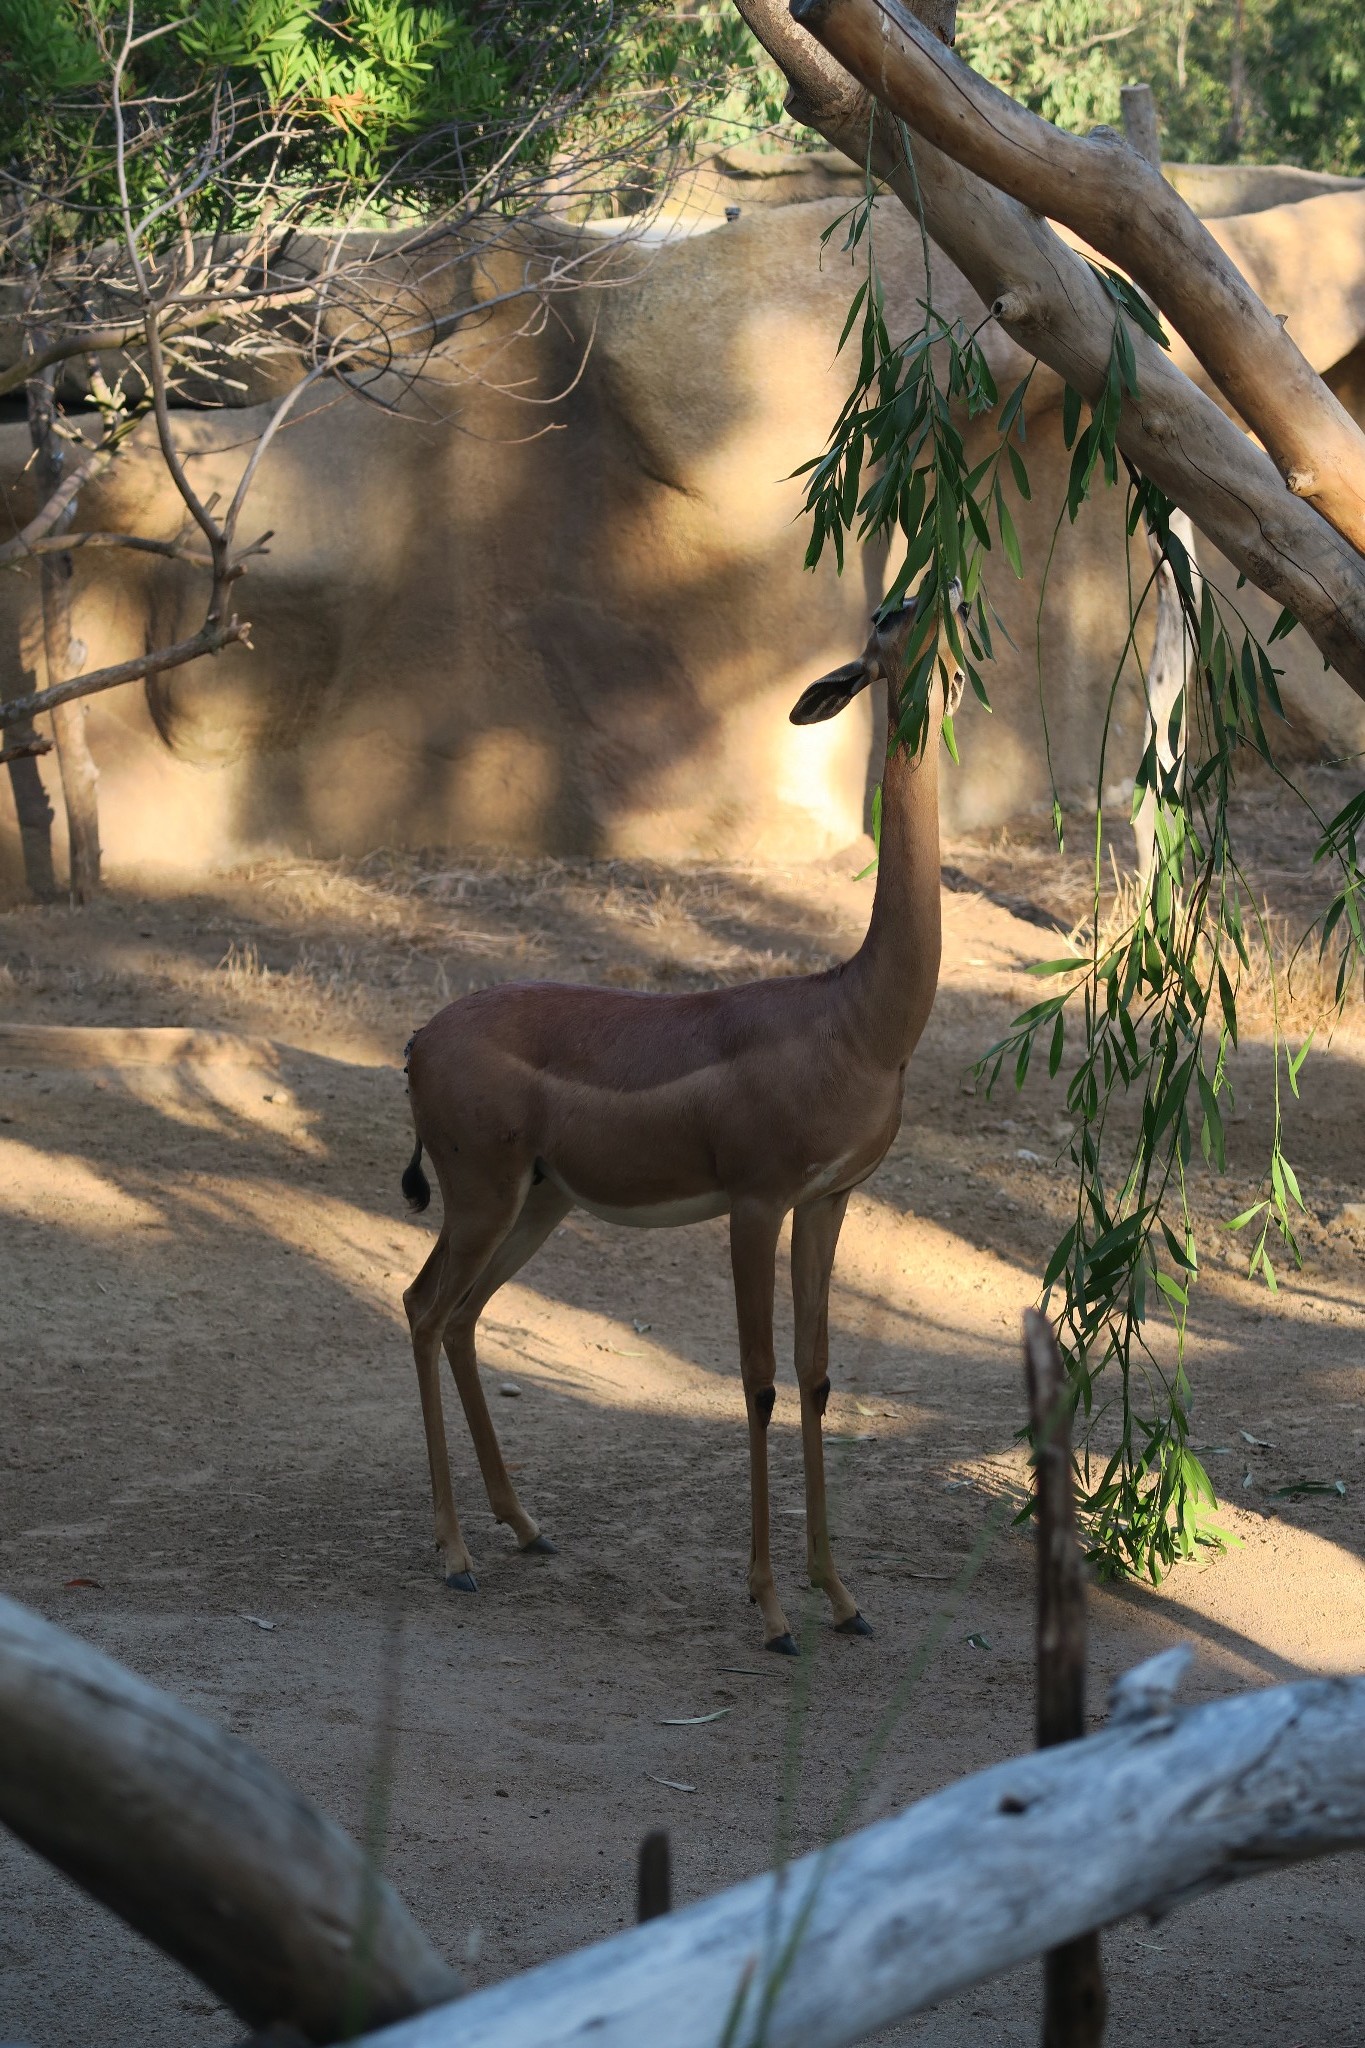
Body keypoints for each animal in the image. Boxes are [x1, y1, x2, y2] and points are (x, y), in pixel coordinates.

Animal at [401, 598, 965, 1646]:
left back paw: (526, 1528)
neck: (857, 1019)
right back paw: (454, 1557)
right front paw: (772, 1609)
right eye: (884, 618)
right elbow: (757, 1380)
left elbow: (819, 1377)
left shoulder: (831, 1200)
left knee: (460, 1317)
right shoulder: (756, 1202)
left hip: (537, 1206)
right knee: (422, 1308)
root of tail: (418, 1039)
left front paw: (843, 1599)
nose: (928, 598)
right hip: (481, 1201)